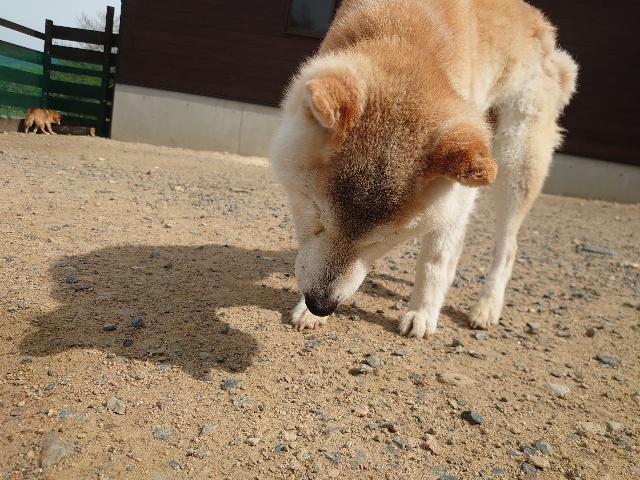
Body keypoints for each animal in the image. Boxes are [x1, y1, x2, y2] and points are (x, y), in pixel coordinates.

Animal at [270, 0, 577, 338]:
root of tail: (541, 22)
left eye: (385, 238)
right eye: (316, 215)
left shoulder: (456, 185)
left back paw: (487, 306)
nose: (321, 305)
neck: (404, 32)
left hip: (515, 158)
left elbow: (434, 259)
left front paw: (422, 312)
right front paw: (307, 311)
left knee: (507, 246)